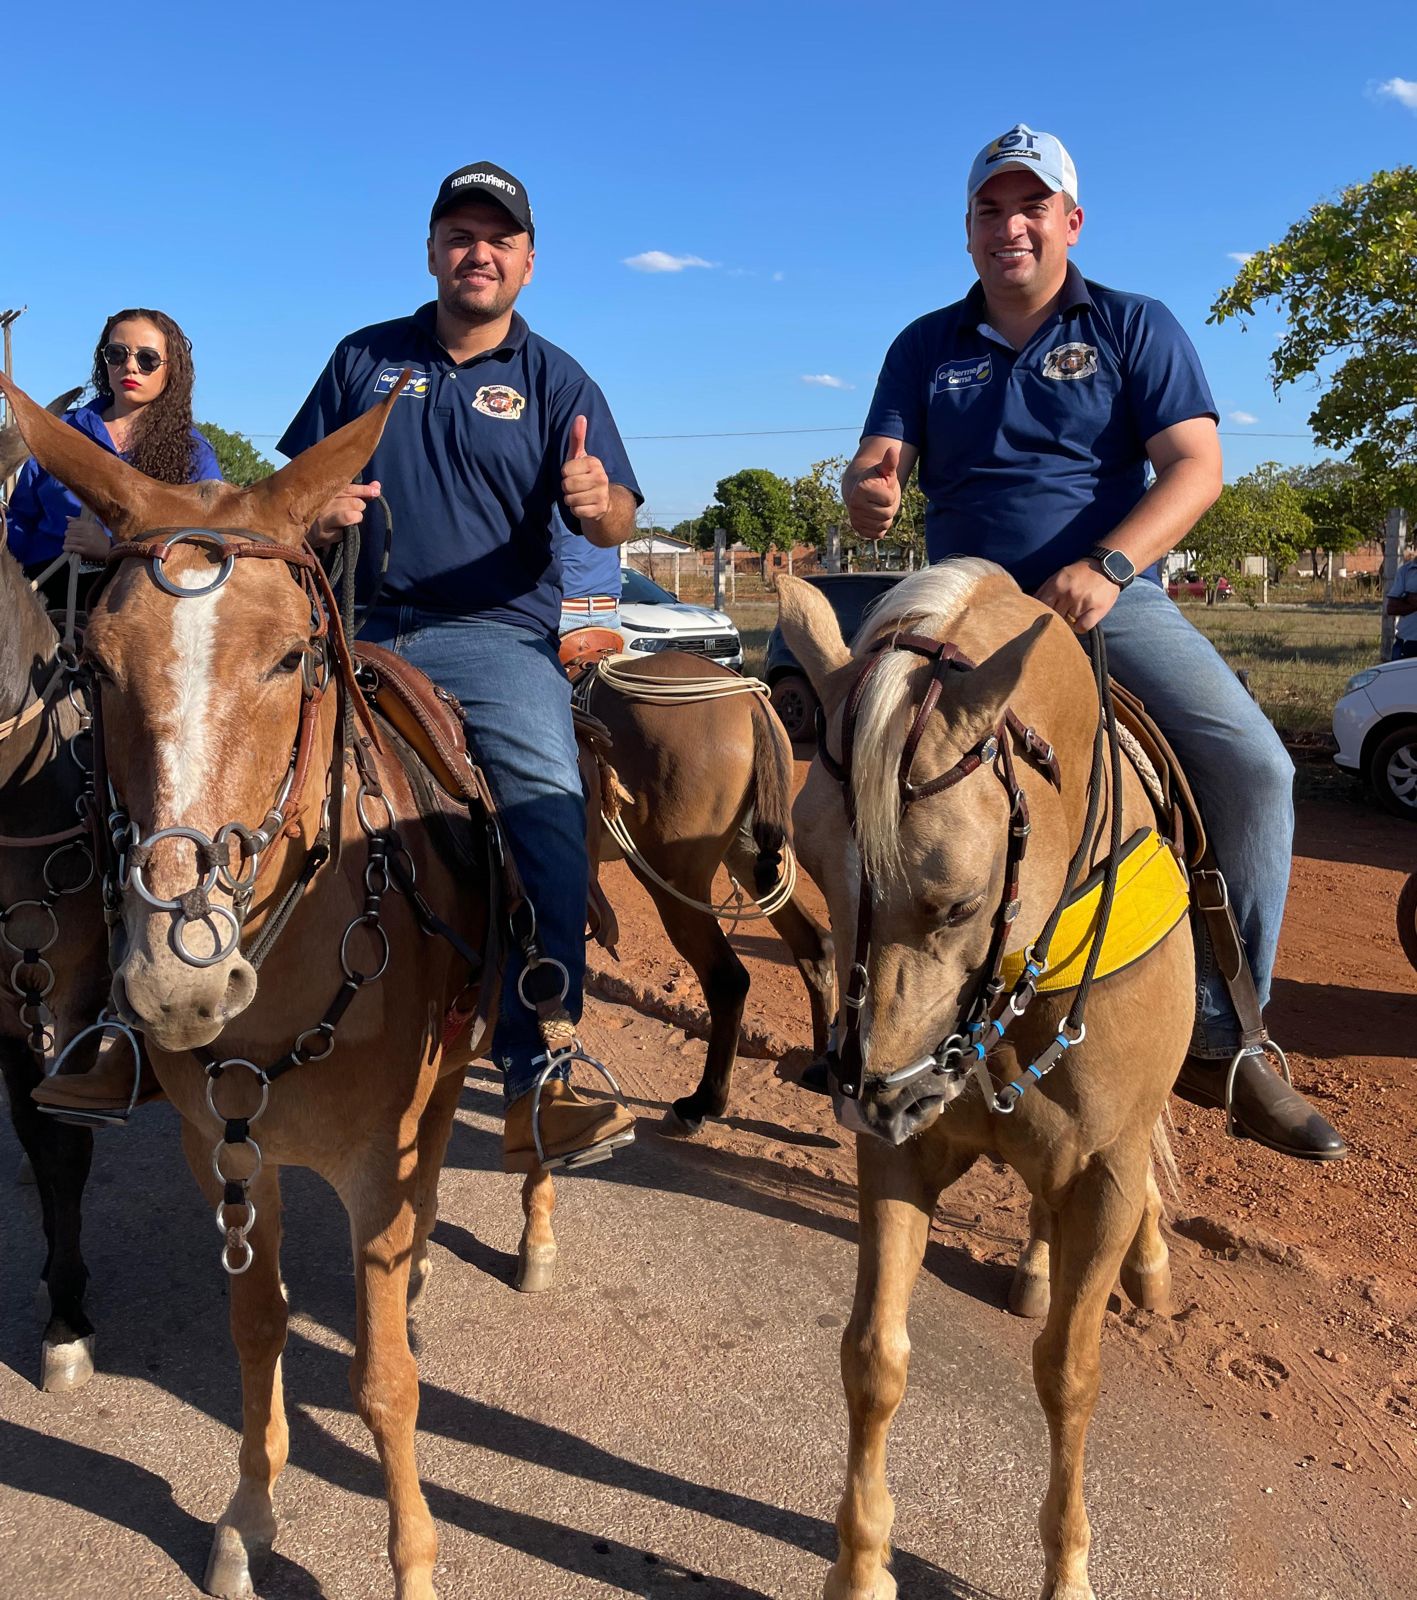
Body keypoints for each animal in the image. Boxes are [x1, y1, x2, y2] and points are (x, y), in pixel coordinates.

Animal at [783, 566, 1189, 1600]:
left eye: (957, 901)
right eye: (812, 865)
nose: (873, 1096)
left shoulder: (1108, 1168)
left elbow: (1070, 1376)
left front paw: (1068, 1573)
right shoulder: (897, 1160)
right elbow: (874, 1355)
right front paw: (860, 1569)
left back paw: (1146, 1265)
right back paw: (1038, 1268)